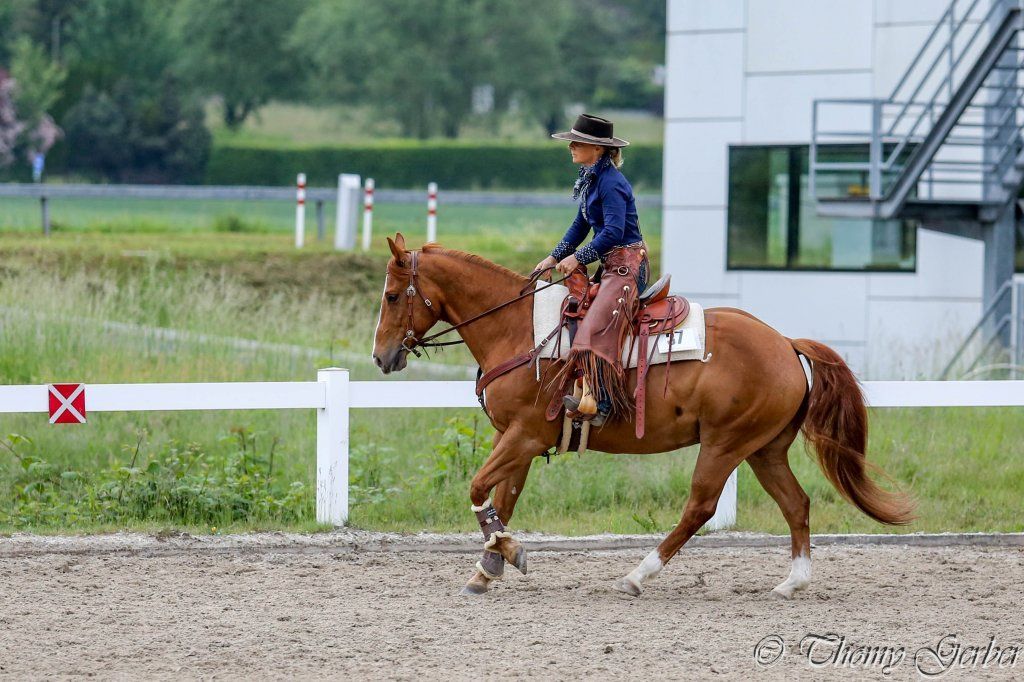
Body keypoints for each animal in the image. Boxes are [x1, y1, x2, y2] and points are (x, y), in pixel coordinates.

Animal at [371, 234, 914, 598]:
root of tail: (785, 343)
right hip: (764, 449)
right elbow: (502, 499)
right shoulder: (517, 441)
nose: (381, 357)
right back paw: (792, 582)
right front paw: (490, 567)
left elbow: (479, 488)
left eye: (393, 295)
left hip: (725, 445)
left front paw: (507, 555)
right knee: (796, 504)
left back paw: (637, 575)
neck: (517, 329)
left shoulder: (523, 435)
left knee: (700, 507)